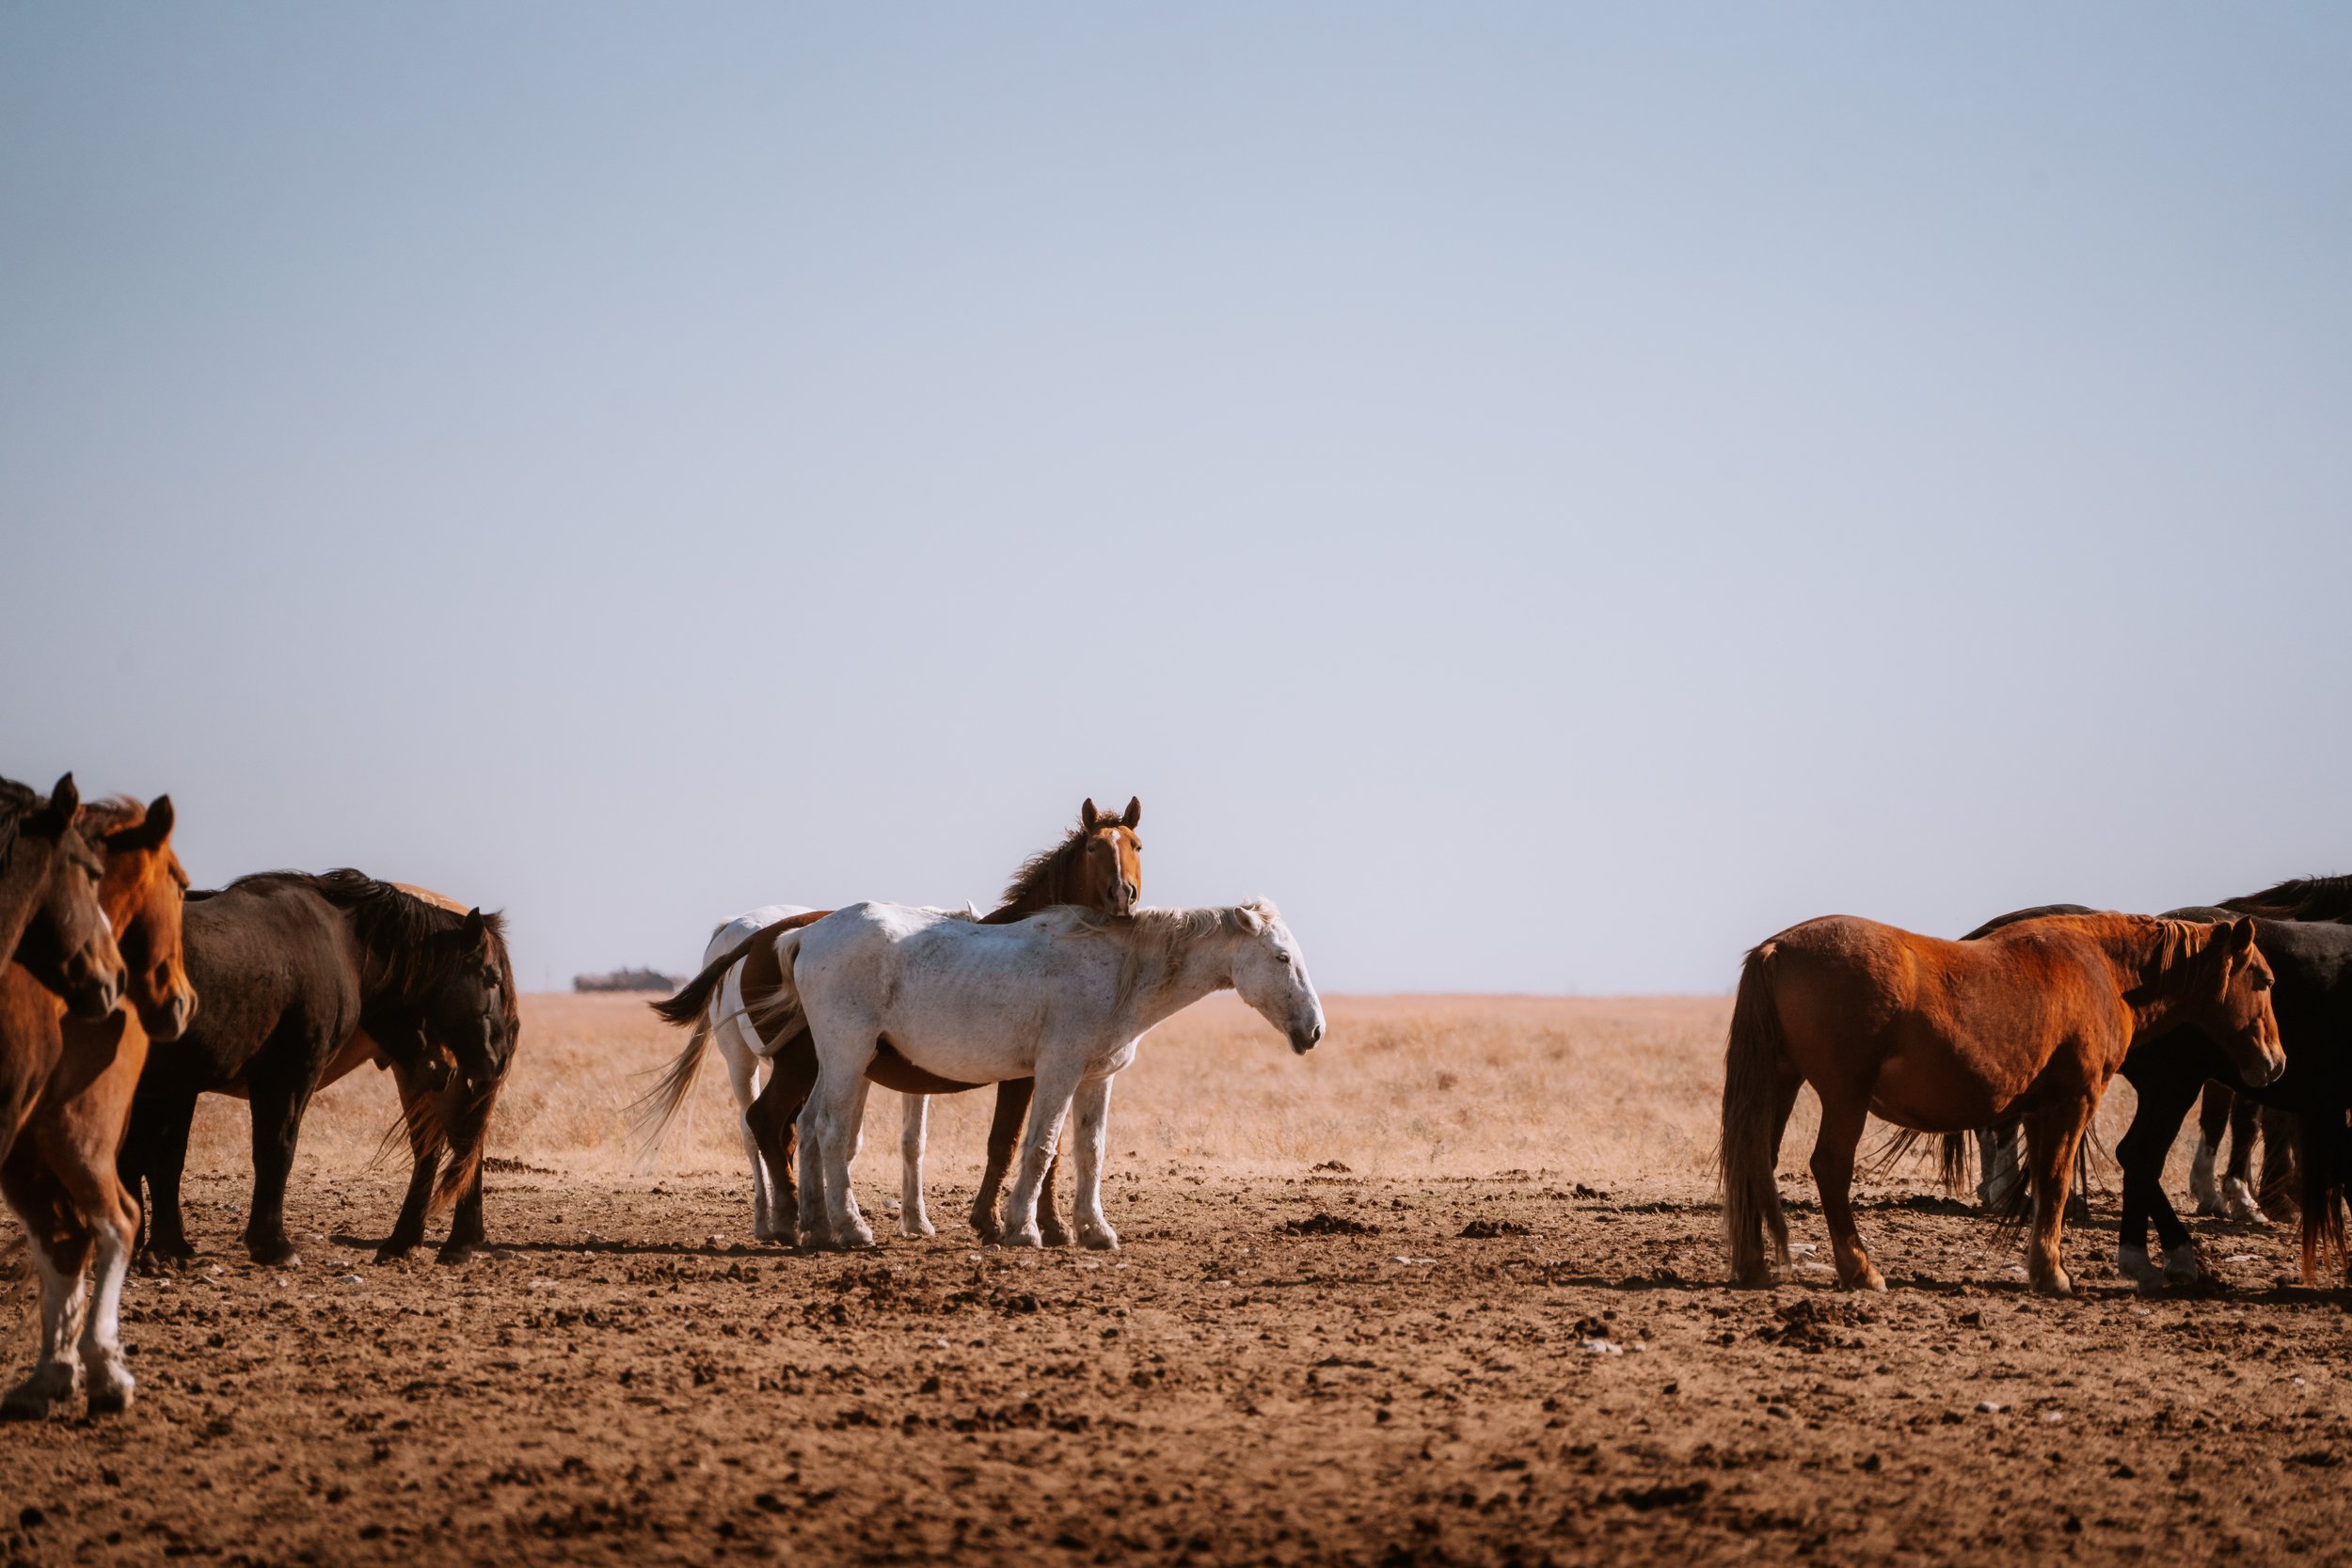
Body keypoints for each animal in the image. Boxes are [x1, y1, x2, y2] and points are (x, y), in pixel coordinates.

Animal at [1, 795, 194, 1418]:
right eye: (180, 884)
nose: (182, 1003)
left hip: (64, 1136)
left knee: (104, 1225)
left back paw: (89, 1372)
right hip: (47, 1144)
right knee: (72, 1234)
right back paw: (62, 1373)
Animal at [121, 870, 514, 1267]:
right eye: (491, 978)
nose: (498, 1052)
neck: (341, 944)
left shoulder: (283, 1074)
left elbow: (272, 1150)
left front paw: (269, 1244)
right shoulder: (176, 1085)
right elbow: (156, 1159)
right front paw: (161, 1245)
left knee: (460, 1144)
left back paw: (454, 1243)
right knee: (438, 1148)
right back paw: (411, 1242)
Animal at [641, 797, 1142, 1245]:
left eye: (1136, 845)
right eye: (1095, 848)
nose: (1124, 894)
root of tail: (770, 936)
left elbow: (1038, 1147)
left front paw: (1049, 1226)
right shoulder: (1025, 1075)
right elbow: (1009, 1141)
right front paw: (996, 1223)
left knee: (786, 1128)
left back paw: (800, 1220)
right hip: (778, 1062)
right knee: (766, 1124)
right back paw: (786, 1220)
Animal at [766, 899, 1323, 1251]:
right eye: (1281, 957)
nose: (1315, 1029)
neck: (1119, 972)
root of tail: (806, 933)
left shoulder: (1097, 1079)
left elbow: (1088, 1151)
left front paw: (1095, 1230)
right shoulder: (1058, 1072)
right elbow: (1041, 1145)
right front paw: (1023, 1229)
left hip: (841, 1063)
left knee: (810, 1128)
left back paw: (816, 1227)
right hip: (848, 1055)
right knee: (831, 1132)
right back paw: (851, 1229)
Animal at [1720, 912, 2282, 1296]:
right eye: (2264, 980)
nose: (2275, 1062)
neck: (2103, 971)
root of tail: (1777, 948)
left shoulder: (2037, 1112)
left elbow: (2045, 1187)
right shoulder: (2073, 1102)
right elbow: (2055, 1184)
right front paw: (2052, 1274)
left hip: (1782, 1085)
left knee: (1756, 1162)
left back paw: (1752, 1265)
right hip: (1844, 1098)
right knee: (1831, 1169)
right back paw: (1861, 1269)